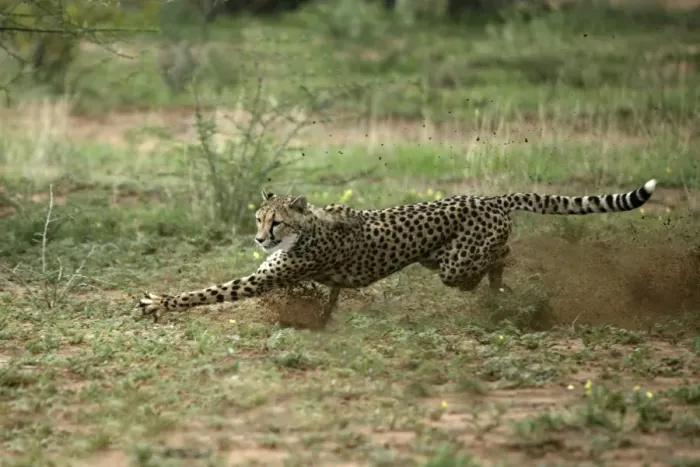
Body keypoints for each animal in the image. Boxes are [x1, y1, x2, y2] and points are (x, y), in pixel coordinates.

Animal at [139, 179, 657, 322]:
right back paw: (500, 290)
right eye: (258, 218)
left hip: (454, 264)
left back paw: (504, 283)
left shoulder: (266, 275)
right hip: (437, 258)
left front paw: (159, 302)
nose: (259, 239)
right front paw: (320, 311)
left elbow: (208, 291)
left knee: (501, 255)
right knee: (498, 259)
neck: (305, 229)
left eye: (275, 222)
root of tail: (490, 196)